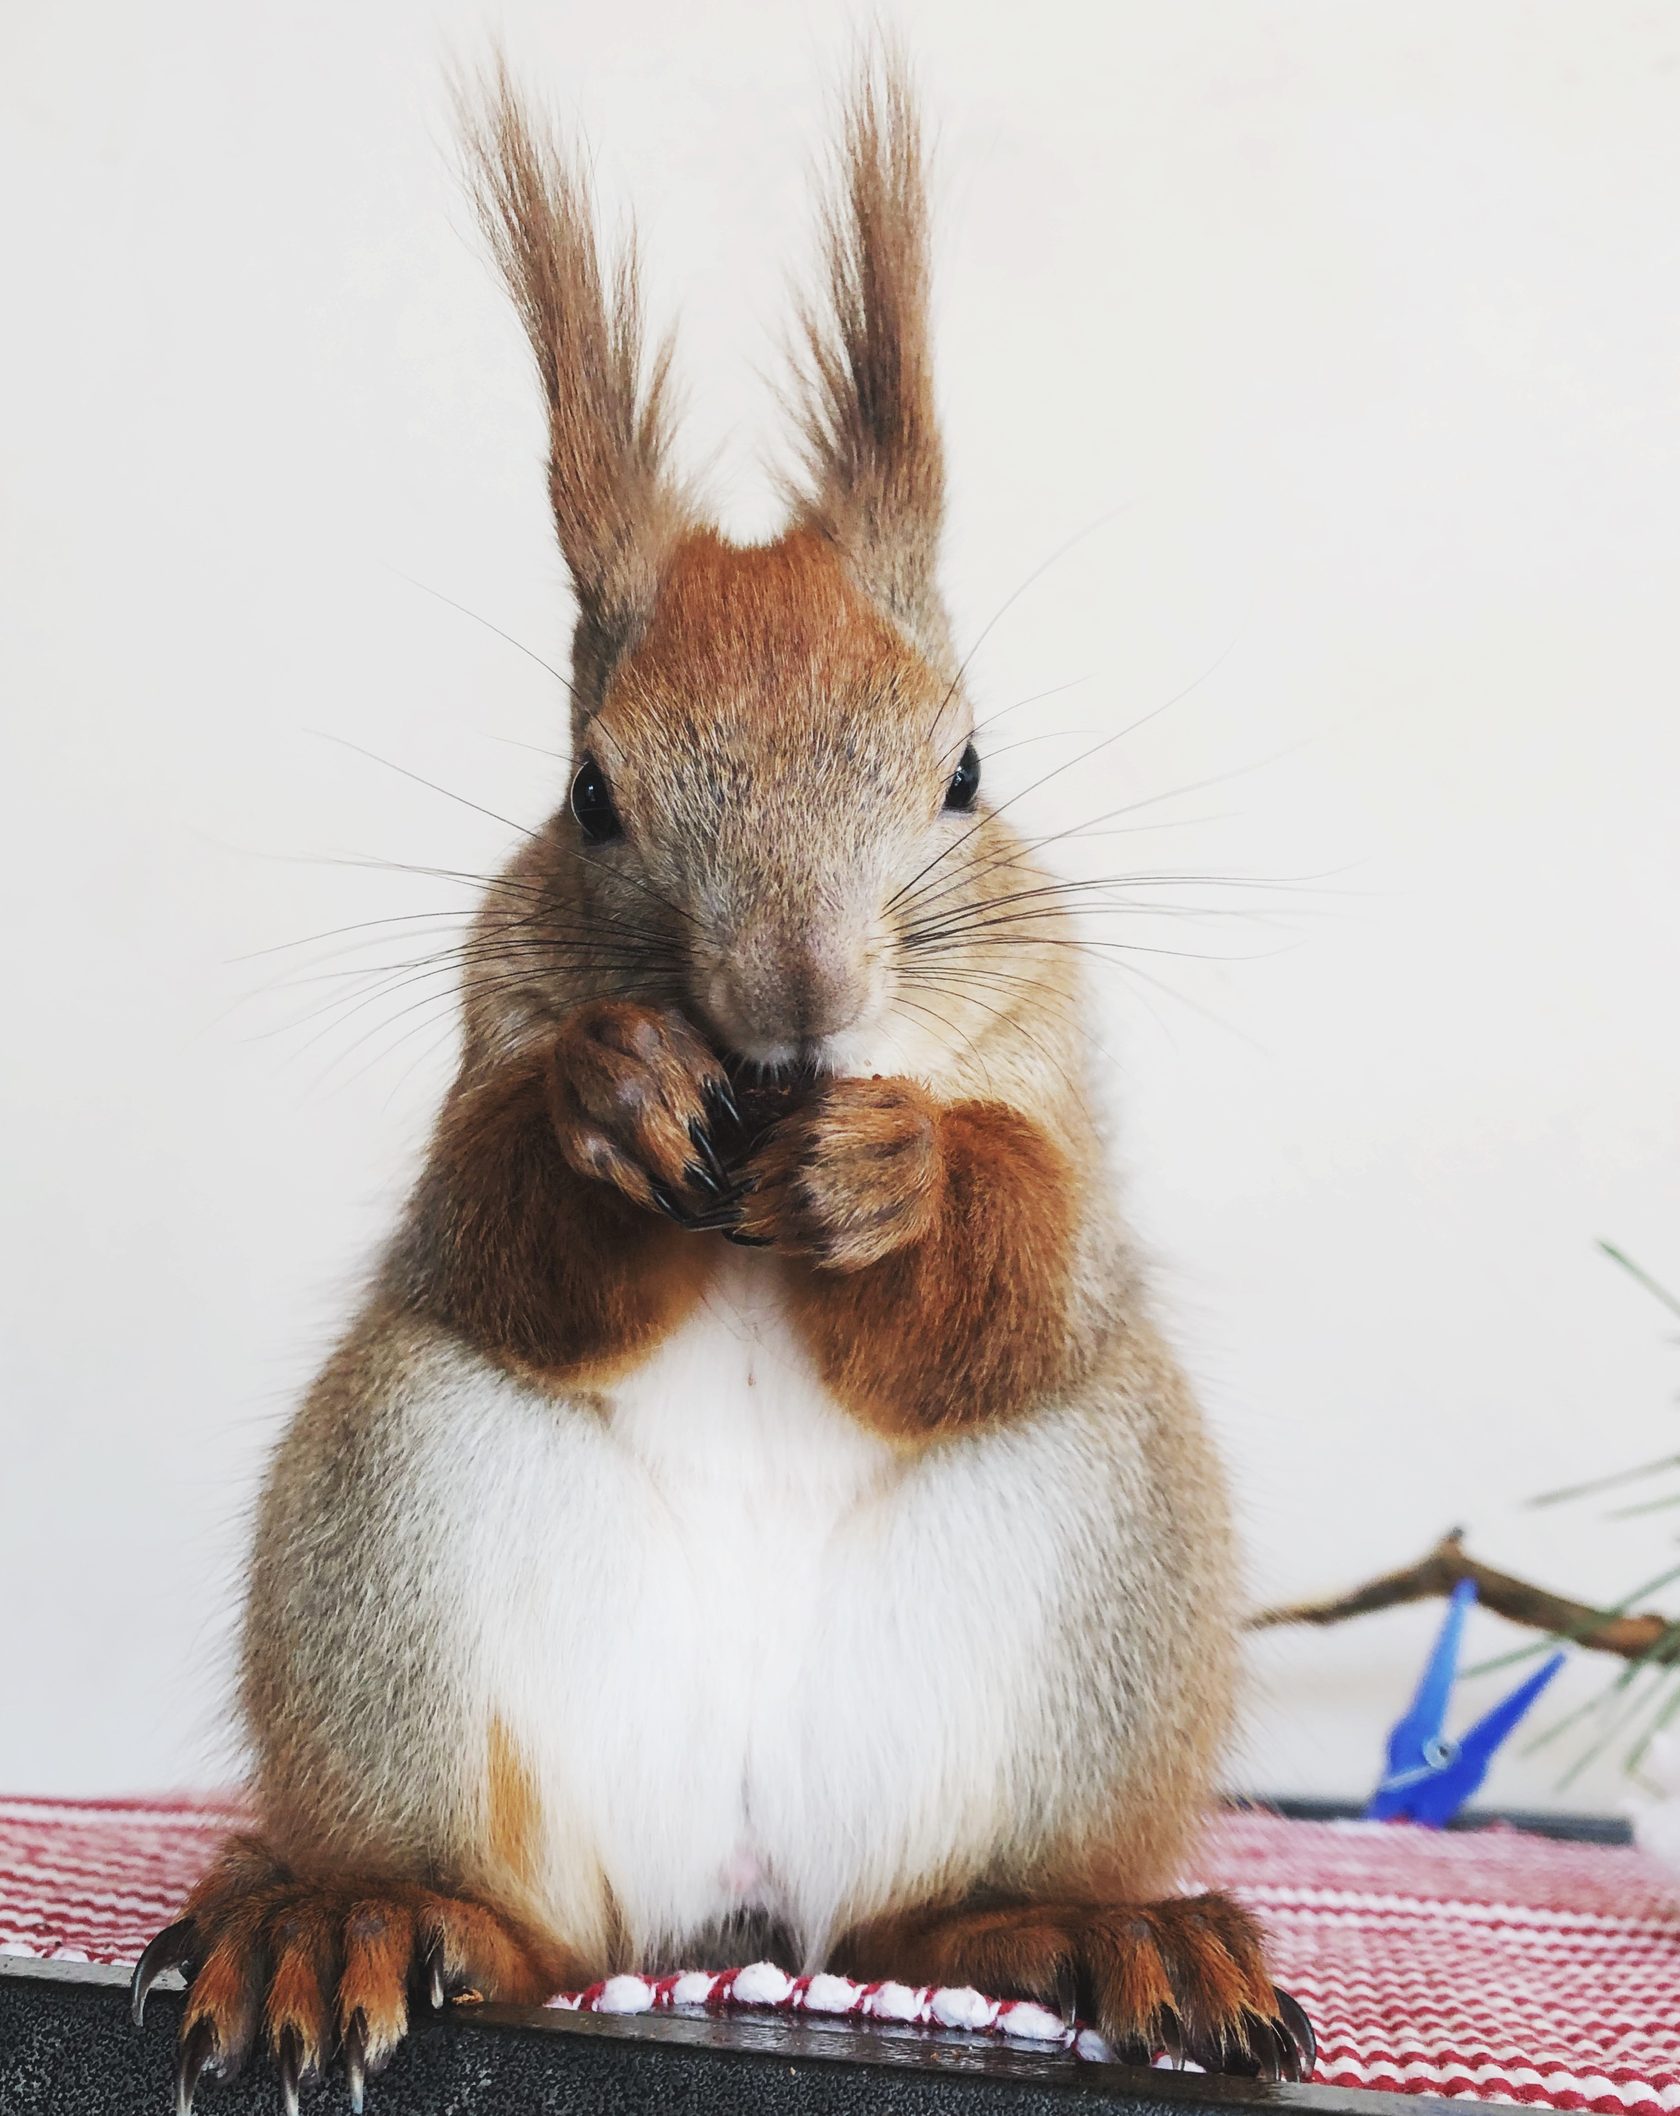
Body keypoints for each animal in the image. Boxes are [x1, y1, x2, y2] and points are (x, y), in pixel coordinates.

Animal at [131, 57, 1311, 2107]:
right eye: (592, 793)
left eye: (966, 771)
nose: (790, 997)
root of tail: (744, 1886)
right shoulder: (488, 1026)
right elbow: (491, 1234)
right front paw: (610, 1095)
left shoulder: (1055, 1067)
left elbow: (1028, 1284)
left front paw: (901, 1172)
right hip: (408, 1538)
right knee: (527, 1917)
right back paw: (370, 1916)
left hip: (1091, 1575)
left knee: (931, 1910)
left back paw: (1078, 1931)